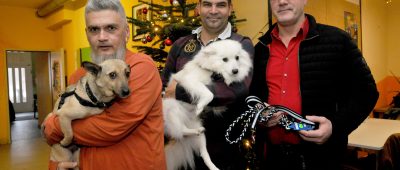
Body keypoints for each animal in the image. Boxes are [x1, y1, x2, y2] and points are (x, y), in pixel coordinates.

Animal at [163, 39, 252, 170]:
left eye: (237, 57)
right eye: (225, 59)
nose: (236, 71)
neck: (211, 71)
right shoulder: (190, 82)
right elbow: (209, 94)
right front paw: (200, 106)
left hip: (201, 137)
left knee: (204, 153)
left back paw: (213, 166)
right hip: (173, 110)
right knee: (181, 130)